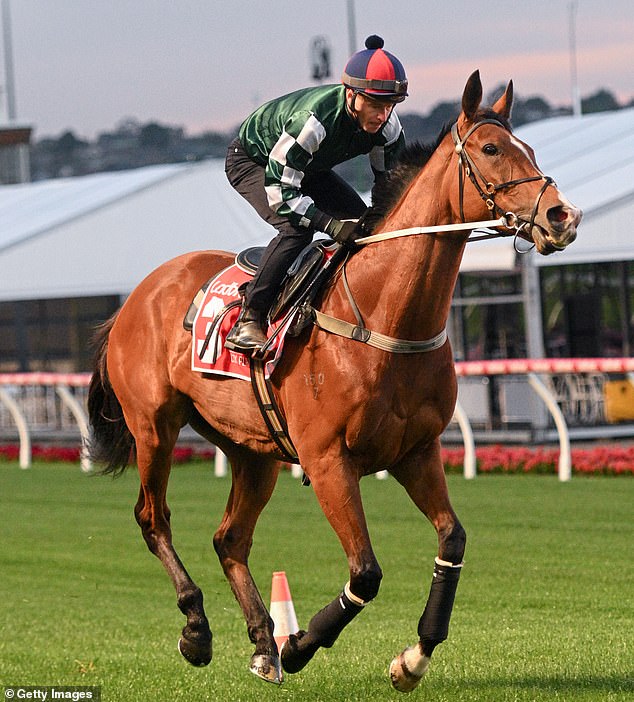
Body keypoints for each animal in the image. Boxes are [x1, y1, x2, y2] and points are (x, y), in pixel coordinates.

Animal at [86, 73, 580, 692]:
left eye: (529, 149)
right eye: (491, 149)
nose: (562, 216)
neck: (384, 314)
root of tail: (136, 296)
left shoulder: (417, 451)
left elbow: (452, 540)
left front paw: (413, 658)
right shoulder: (327, 462)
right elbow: (365, 573)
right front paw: (299, 643)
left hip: (252, 450)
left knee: (230, 538)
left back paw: (261, 643)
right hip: (154, 426)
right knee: (154, 519)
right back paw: (198, 630)